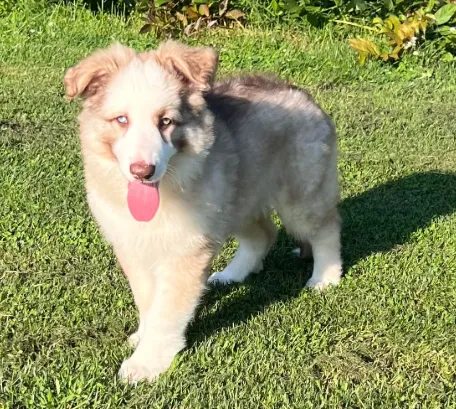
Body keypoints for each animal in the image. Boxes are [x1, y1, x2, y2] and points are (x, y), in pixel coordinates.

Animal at [64, 39, 342, 380]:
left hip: (299, 195)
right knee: (263, 233)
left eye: (166, 121)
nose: (142, 171)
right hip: (235, 199)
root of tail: (303, 94)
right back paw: (232, 274)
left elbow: (167, 312)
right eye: (121, 120)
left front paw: (147, 362)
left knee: (326, 228)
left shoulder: (185, 252)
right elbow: (148, 302)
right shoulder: (133, 247)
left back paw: (326, 277)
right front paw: (143, 336)